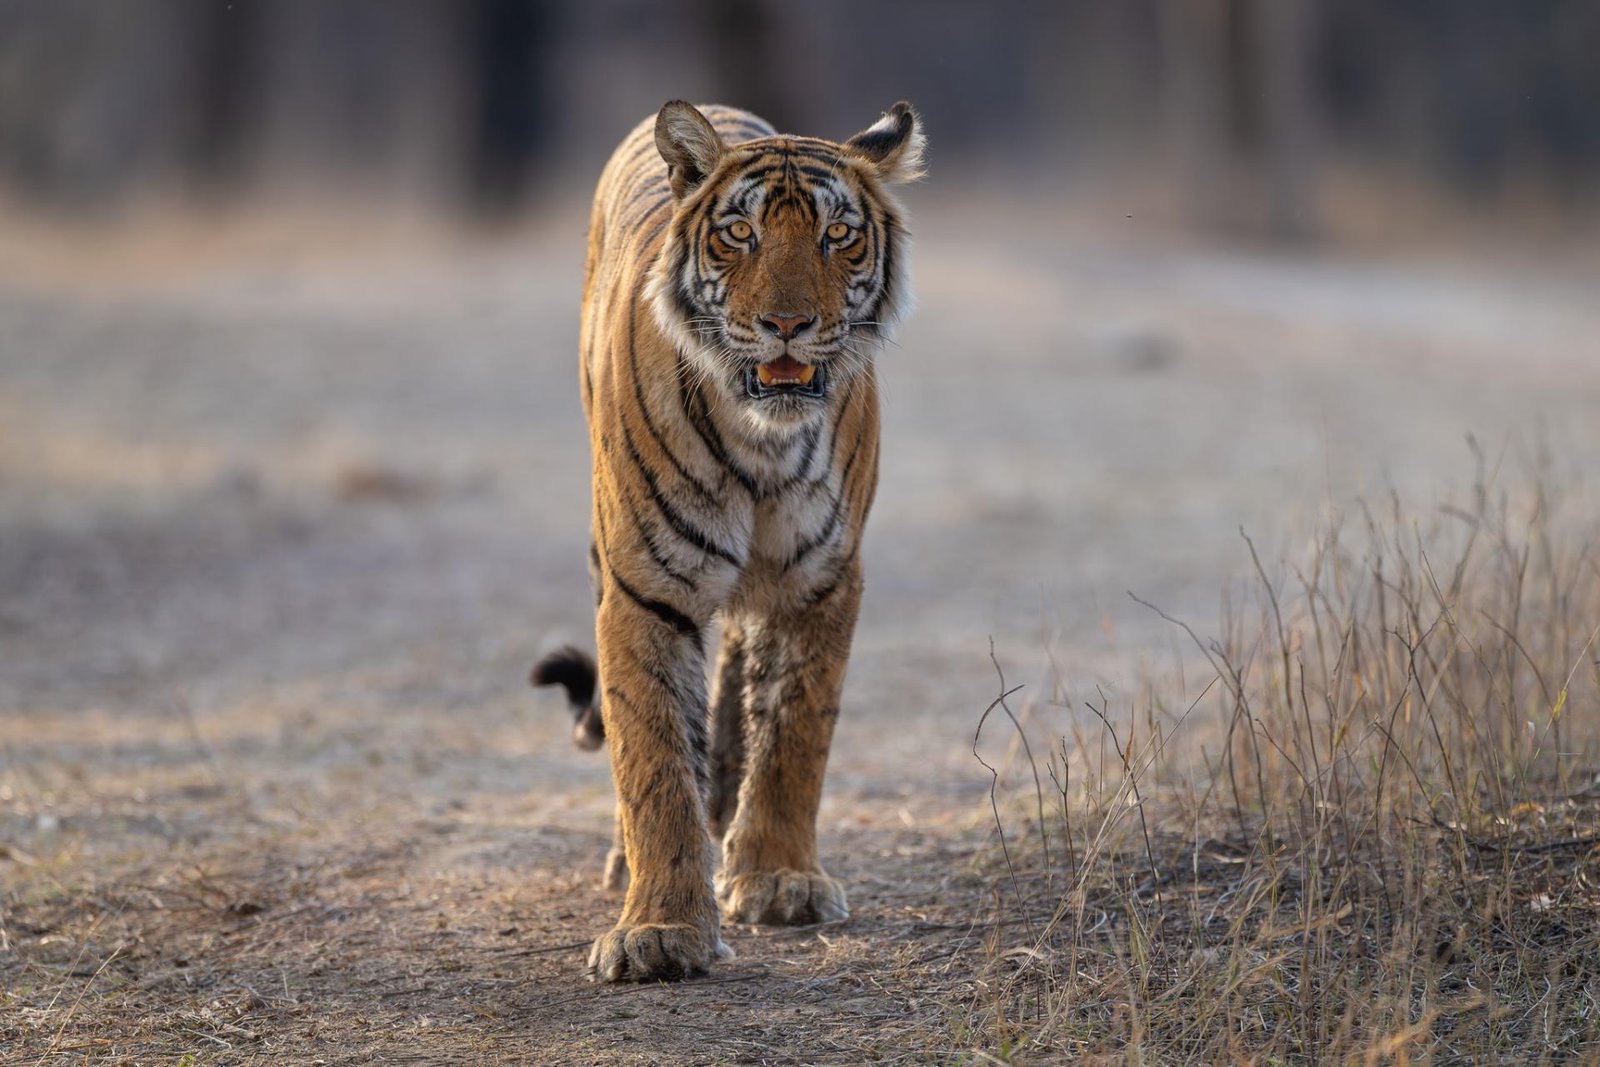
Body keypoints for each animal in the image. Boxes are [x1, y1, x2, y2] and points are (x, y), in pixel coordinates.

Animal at [532, 99, 924, 983]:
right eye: (740, 234)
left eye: (837, 235)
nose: (786, 325)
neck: (763, 443)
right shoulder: (644, 589)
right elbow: (652, 761)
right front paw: (659, 928)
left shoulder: (820, 580)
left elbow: (793, 733)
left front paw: (779, 880)